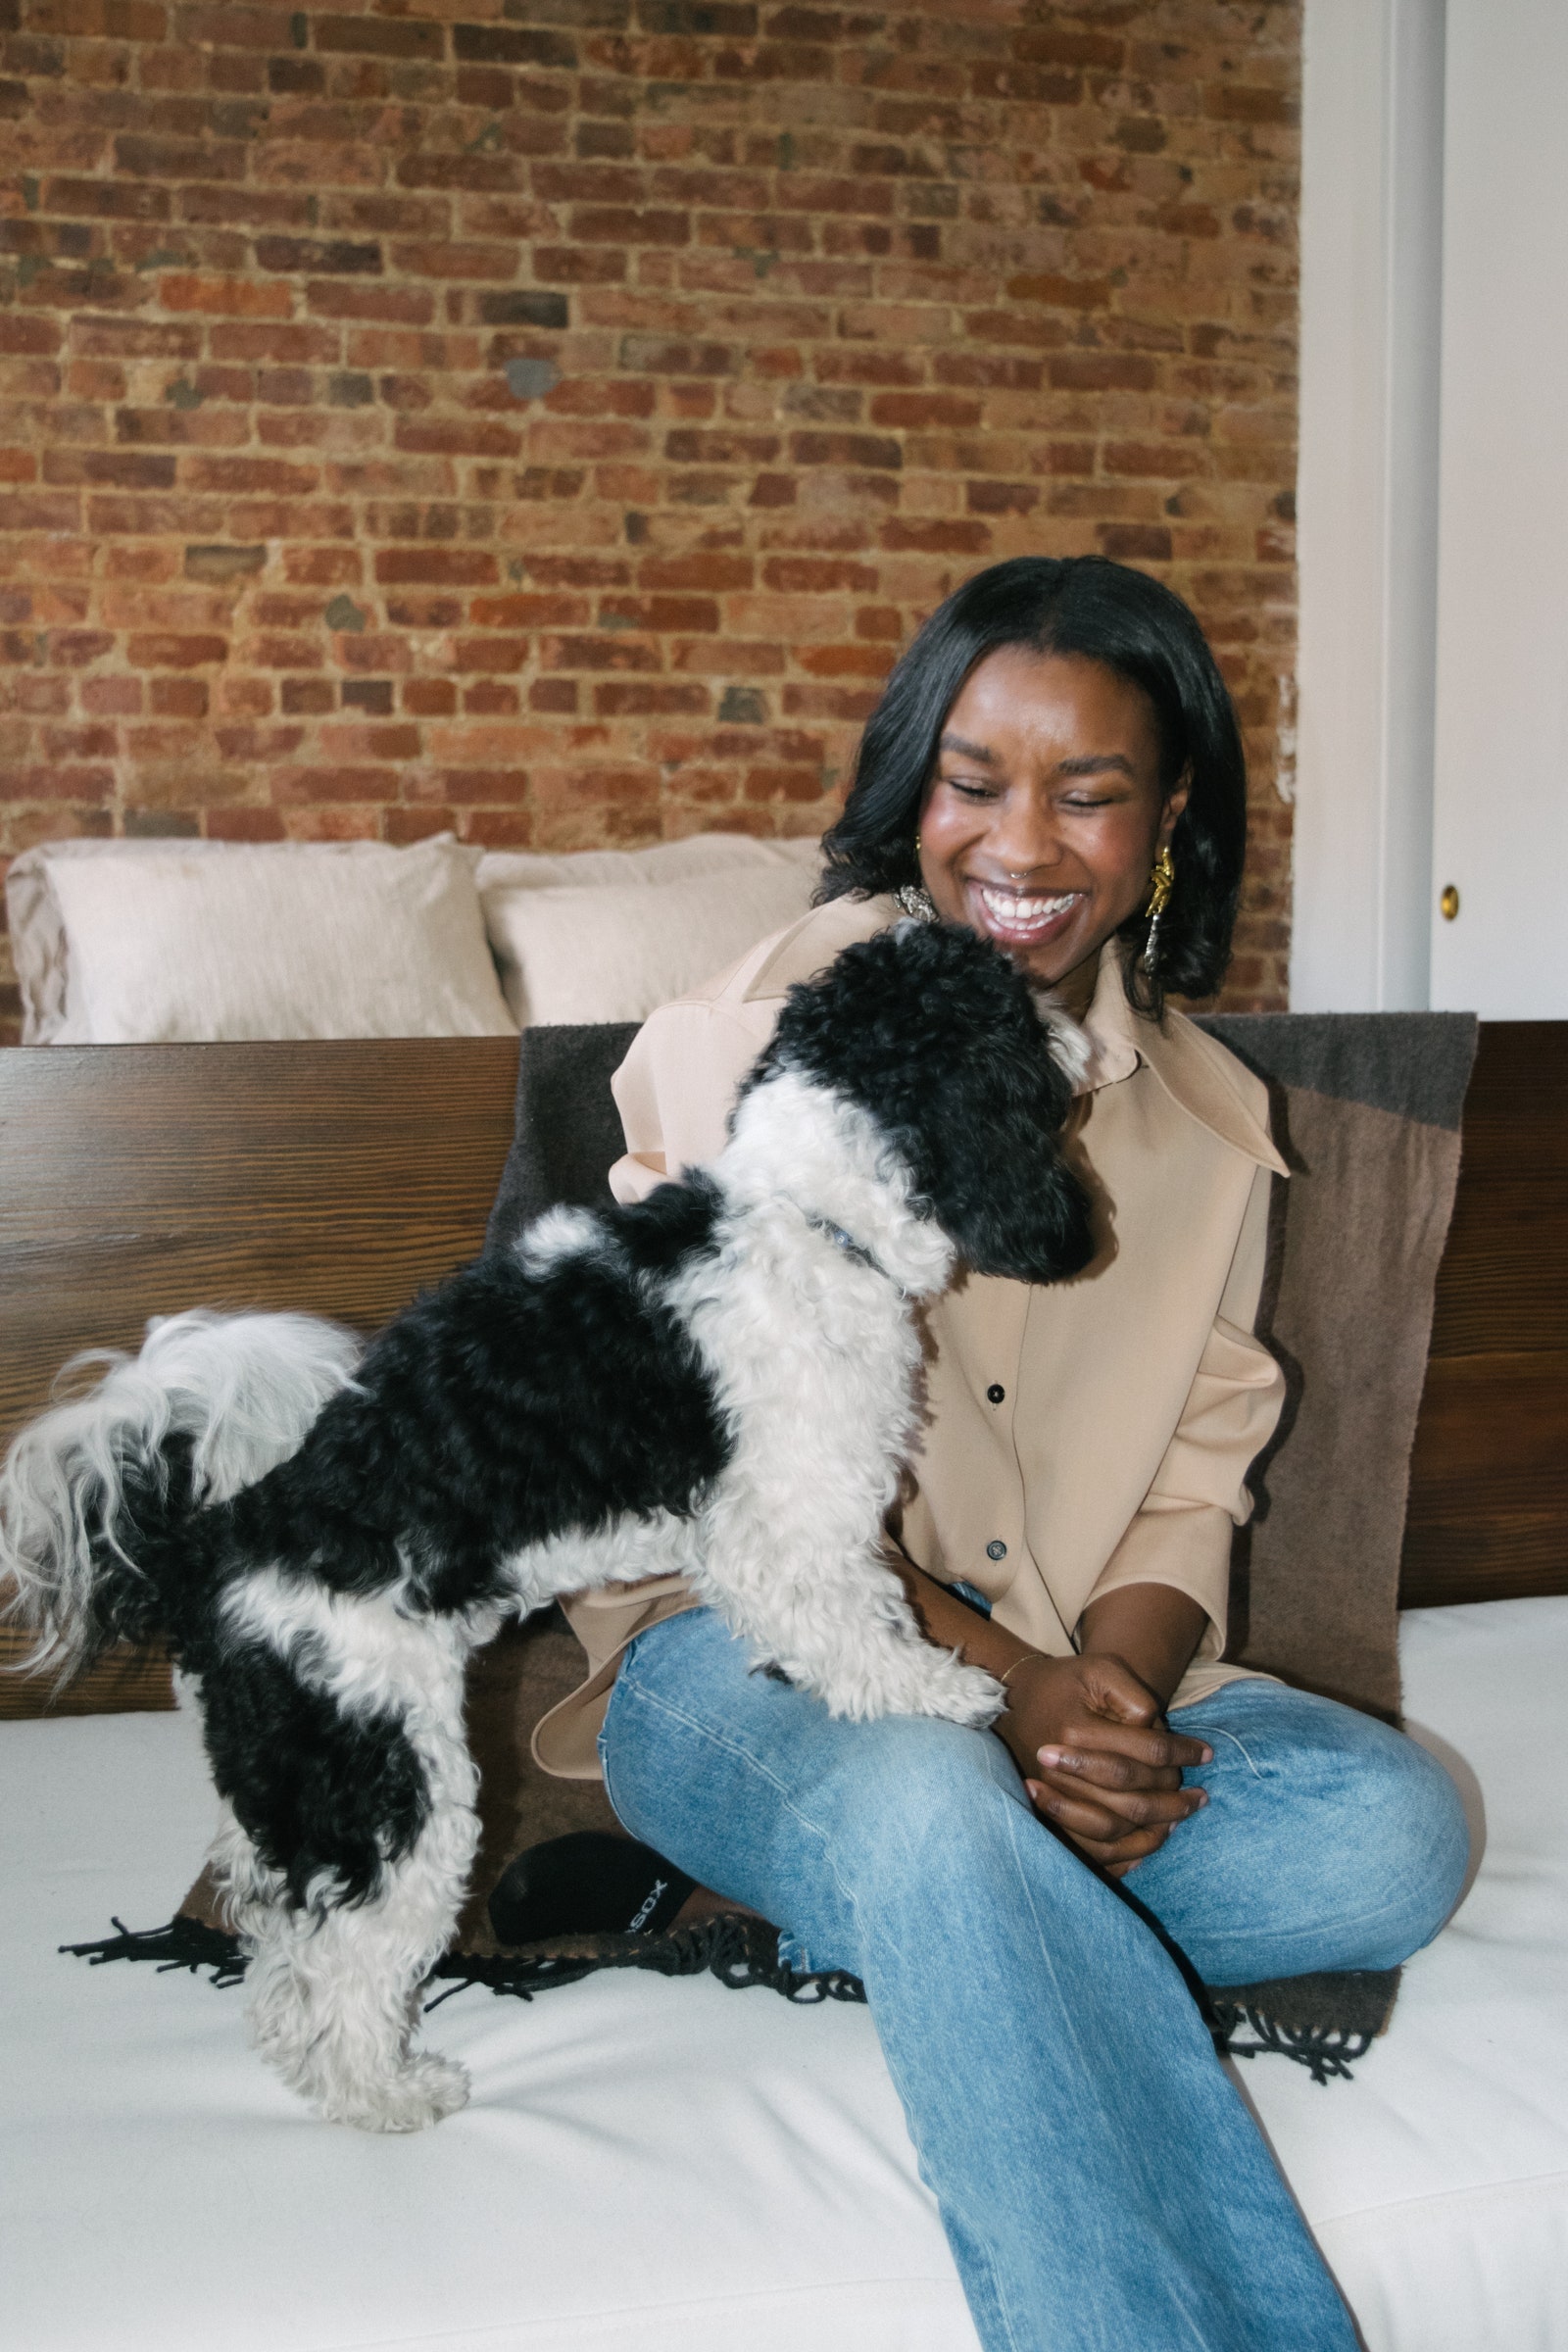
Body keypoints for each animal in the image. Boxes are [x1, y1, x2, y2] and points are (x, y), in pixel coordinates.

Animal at [3, 917, 1091, 2135]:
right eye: (1012, 1009)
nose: (1082, 1029)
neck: (797, 1214)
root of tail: (229, 1538)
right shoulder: (792, 1520)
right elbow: (859, 1629)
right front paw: (937, 1689)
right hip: (394, 1783)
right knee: (346, 1965)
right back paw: (383, 2092)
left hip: (301, 1786)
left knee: (284, 1952)